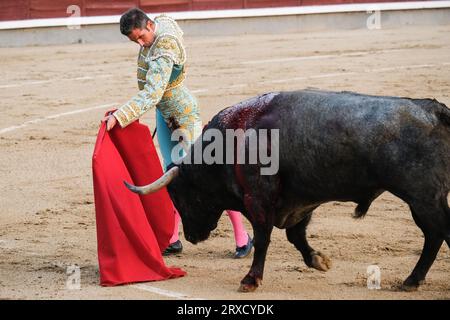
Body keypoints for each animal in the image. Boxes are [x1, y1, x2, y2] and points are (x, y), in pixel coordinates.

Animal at [124, 90, 450, 292]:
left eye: (181, 195)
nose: (192, 237)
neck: (231, 141)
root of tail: (435, 110)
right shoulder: (299, 201)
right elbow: (296, 236)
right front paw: (319, 260)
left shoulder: (258, 200)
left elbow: (264, 239)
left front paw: (251, 280)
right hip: (425, 201)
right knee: (434, 236)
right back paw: (411, 281)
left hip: (424, 199)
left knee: (437, 233)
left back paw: (412, 279)